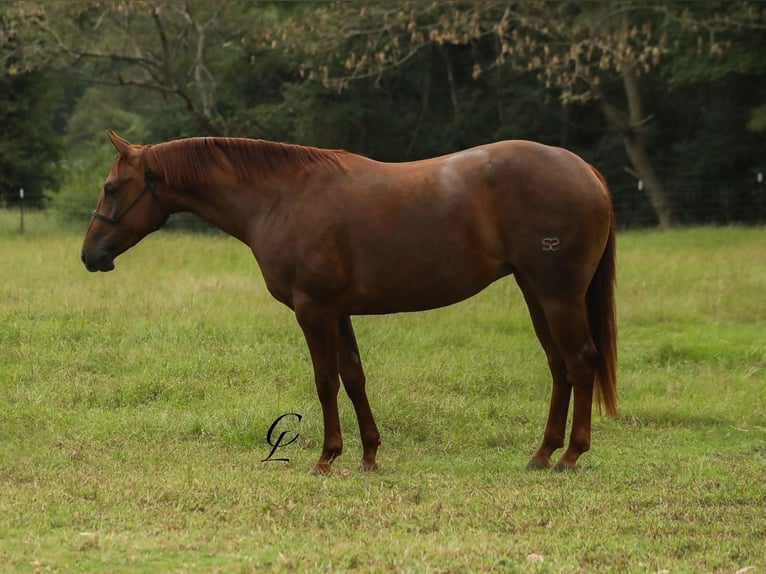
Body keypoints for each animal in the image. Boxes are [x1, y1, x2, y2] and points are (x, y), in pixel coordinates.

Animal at [81, 133, 616, 474]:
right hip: (535, 292)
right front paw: (369, 456)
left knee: (580, 361)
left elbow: (326, 382)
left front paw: (326, 457)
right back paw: (542, 454)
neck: (283, 198)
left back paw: (570, 456)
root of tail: (584, 169)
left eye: (111, 188)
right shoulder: (338, 311)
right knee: (559, 366)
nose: (90, 255)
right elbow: (355, 377)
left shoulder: (313, 309)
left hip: (557, 294)